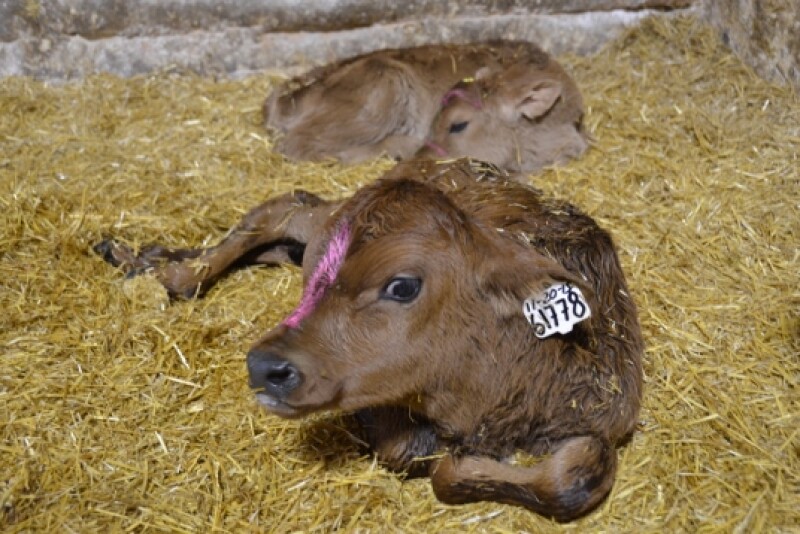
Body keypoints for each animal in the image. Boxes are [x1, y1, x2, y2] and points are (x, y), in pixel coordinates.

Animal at [94, 159, 643, 522]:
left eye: (402, 286)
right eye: (318, 280)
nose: (264, 365)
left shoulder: (609, 412)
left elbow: (573, 477)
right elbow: (413, 454)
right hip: (318, 221)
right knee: (287, 207)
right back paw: (161, 268)